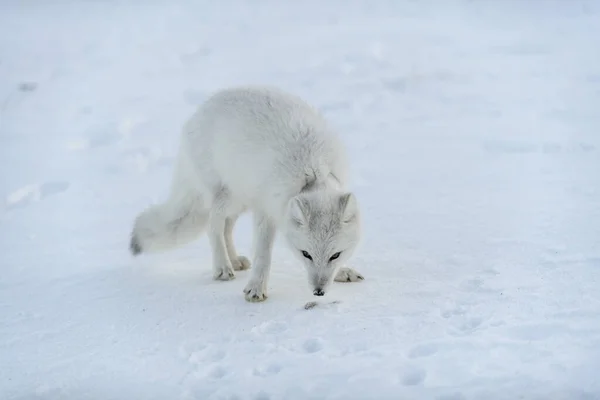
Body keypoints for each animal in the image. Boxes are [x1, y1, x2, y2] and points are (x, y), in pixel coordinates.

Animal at [131, 86, 364, 302]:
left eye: (335, 255)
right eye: (305, 254)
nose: (318, 292)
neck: (314, 173)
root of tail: (194, 117)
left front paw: (342, 272)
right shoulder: (265, 210)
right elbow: (263, 254)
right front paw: (256, 288)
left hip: (241, 201)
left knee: (226, 227)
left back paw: (234, 261)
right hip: (228, 196)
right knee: (213, 225)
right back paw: (222, 267)